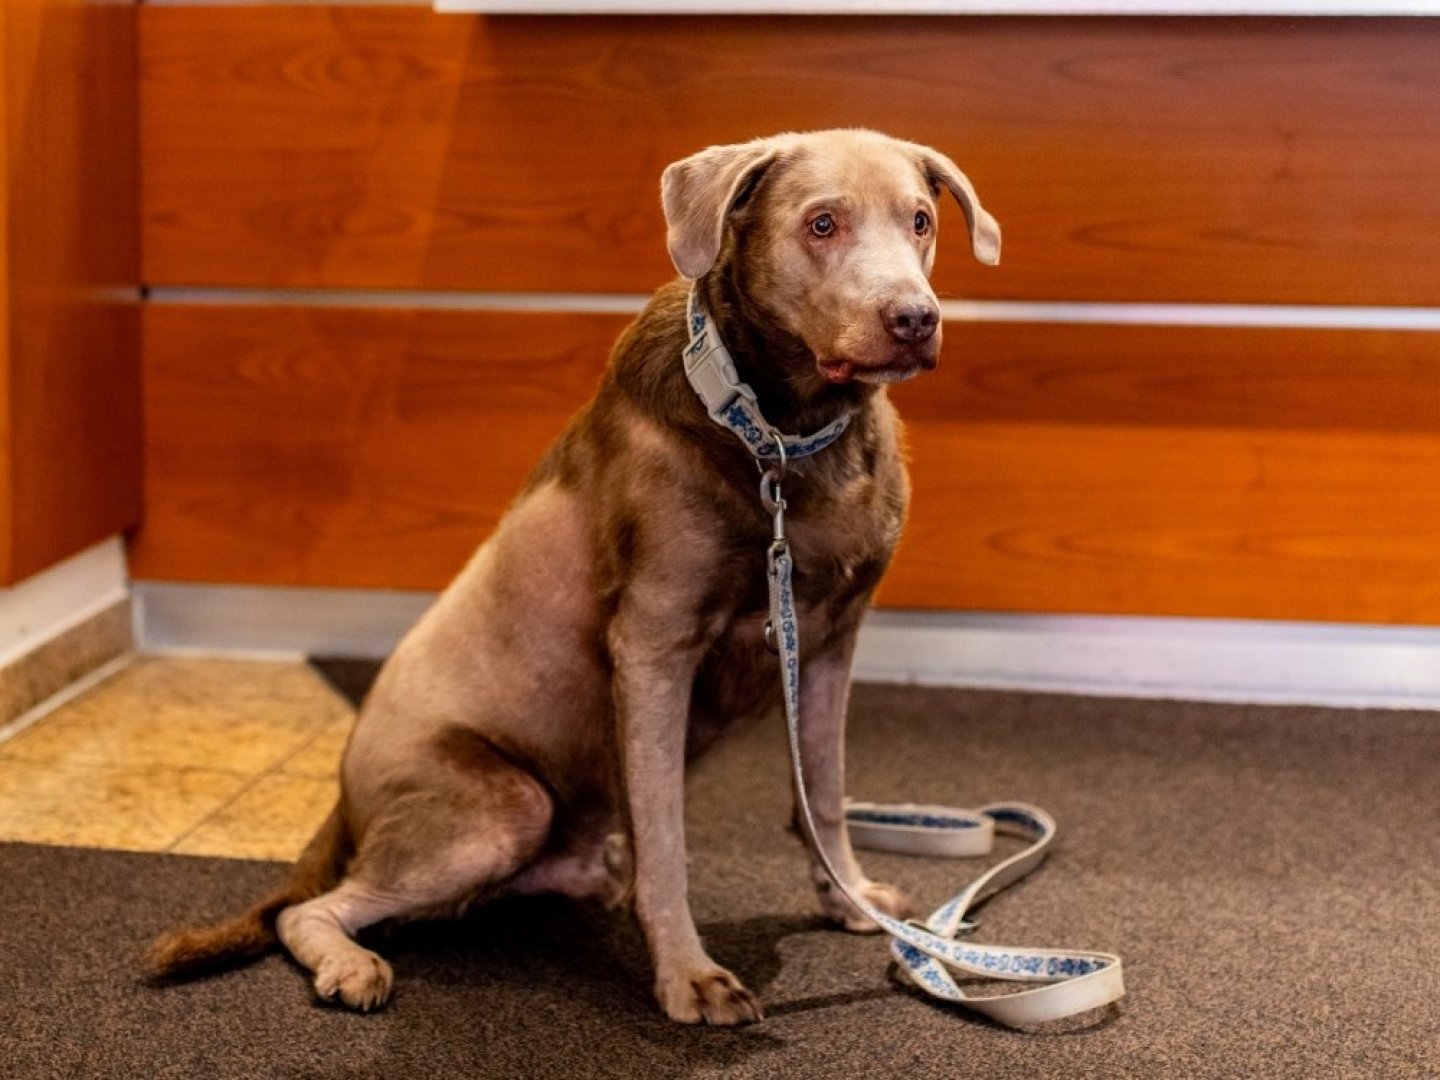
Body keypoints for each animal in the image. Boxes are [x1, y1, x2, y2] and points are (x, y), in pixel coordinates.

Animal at [149, 131, 1002, 1025]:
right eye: (822, 223)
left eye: (919, 220)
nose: (914, 318)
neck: (781, 435)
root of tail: (341, 800)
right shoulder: (655, 645)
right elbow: (666, 837)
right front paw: (689, 974)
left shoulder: (831, 639)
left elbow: (825, 792)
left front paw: (850, 898)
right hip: (499, 807)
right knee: (309, 911)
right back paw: (351, 964)